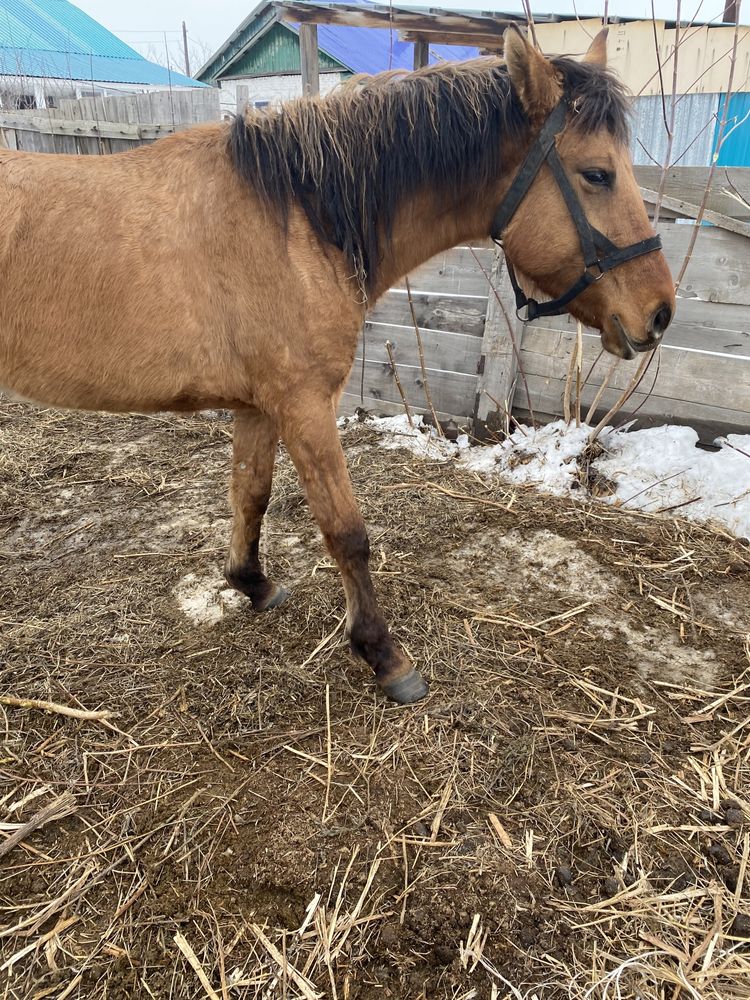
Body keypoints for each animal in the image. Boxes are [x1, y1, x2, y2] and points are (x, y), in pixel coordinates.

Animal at [0, 29, 676, 704]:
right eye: (597, 174)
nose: (660, 312)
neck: (296, 220)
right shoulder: (304, 404)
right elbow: (346, 531)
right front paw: (382, 653)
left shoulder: (259, 405)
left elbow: (250, 493)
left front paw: (252, 582)